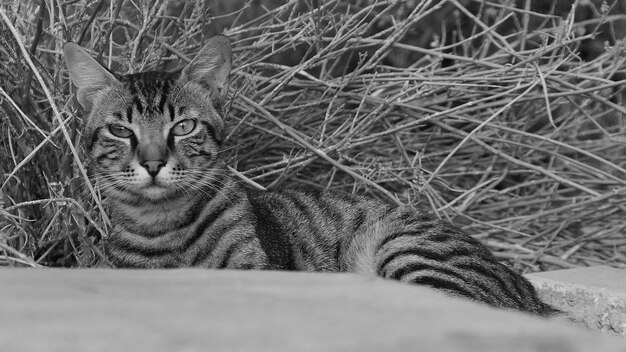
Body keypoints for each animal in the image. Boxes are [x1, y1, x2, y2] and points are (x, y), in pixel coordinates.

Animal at [64, 35, 556, 316]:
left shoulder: (256, 274)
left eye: (183, 127)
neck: (163, 226)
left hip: (409, 250)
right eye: (120, 130)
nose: (152, 163)